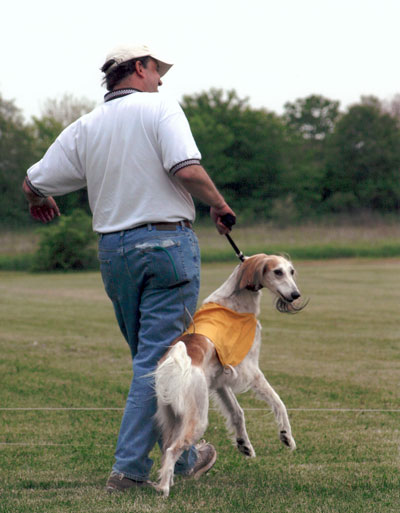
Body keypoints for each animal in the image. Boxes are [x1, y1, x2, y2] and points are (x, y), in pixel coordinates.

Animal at [153, 254, 306, 494]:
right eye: (277, 272)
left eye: (291, 271)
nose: (295, 294)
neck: (236, 299)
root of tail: (174, 361)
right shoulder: (250, 369)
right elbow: (278, 402)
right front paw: (286, 436)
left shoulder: (219, 379)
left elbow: (237, 412)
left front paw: (244, 444)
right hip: (197, 418)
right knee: (172, 450)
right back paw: (164, 490)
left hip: (171, 415)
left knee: (166, 448)